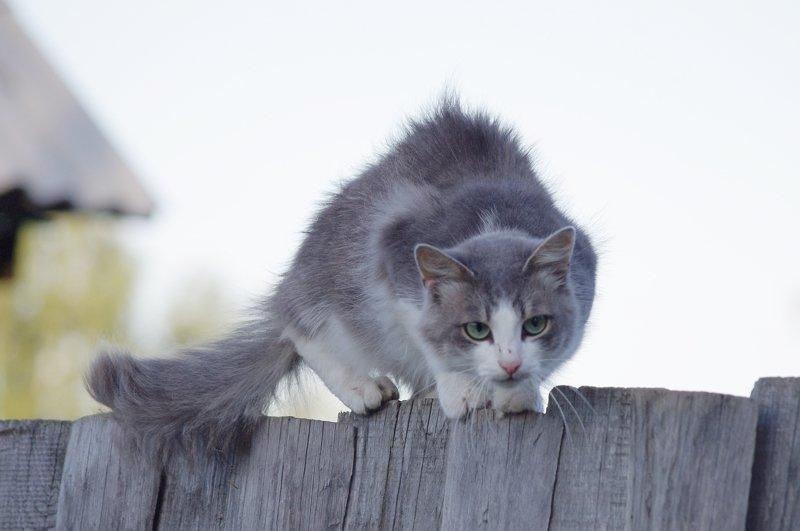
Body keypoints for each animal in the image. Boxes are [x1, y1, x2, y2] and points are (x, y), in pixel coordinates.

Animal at [87, 97, 592, 460]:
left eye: (535, 325)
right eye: (476, 329)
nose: (509, 364)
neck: (491, 219)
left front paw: (519, 392)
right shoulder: (391, 254)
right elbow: (430, 342)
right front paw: (462, 391)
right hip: (329, 279)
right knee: (301, 326)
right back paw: (367, 388)